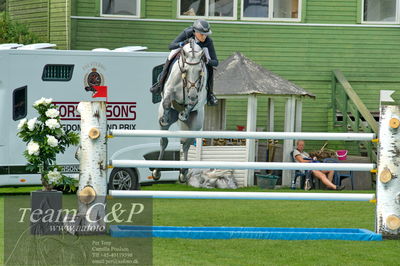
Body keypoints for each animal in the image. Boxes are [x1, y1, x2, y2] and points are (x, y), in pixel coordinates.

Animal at [153, 38, 209, 183]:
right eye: (185, 70)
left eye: (200, 71)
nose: (192, 95)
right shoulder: (169, 90)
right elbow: (167, 100)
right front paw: (165, 118)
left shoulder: (199, 96)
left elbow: (193, 103)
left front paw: (184, 113)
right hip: (164, 123)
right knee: (164, 141)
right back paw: (156, 171)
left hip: (194, 125)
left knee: (185, 143)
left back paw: (183, 172)